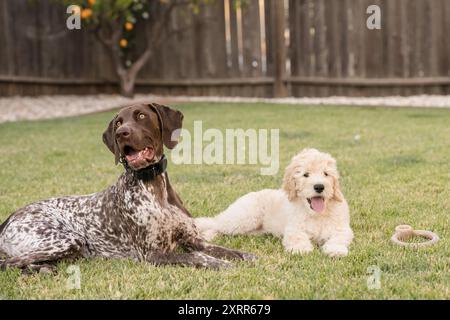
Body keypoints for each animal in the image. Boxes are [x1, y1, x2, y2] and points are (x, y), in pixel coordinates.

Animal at [0, 102, 256, 272]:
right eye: (118, 123)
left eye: (141, 115)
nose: (121, 133)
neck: (153, 186)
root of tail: (10, 217)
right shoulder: (152, 254)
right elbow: (197, 257)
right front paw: (221, 264)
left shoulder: (194, 239)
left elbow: (223, 249)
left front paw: (246, 256)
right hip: (67, 239)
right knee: (9, 262)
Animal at [195, 149, 354, 256]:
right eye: (306, 175)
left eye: (326, 174)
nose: (319, 187)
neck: (317, 214)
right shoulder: (293, 228)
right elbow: (297, 237)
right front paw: (301, 249)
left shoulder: (342, 228)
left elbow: (338, 238)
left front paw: (336, 250)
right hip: (244, 218)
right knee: (215, 222)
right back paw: (208, 235)